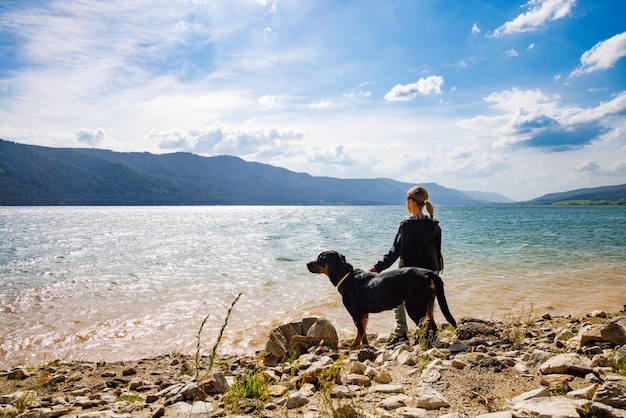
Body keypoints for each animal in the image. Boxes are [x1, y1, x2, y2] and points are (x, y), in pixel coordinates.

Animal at [306, 250, 456, 348]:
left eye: (322, 258)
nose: (307, 263)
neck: (346, 277)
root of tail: (429, 273)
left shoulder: (356, 314)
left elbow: (361, 333)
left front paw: (361, 347)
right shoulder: (364, 315)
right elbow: (362, 333)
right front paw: (357, 345)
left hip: (415, 307)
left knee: (428, 328)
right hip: (428, 305)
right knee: (434, 328)